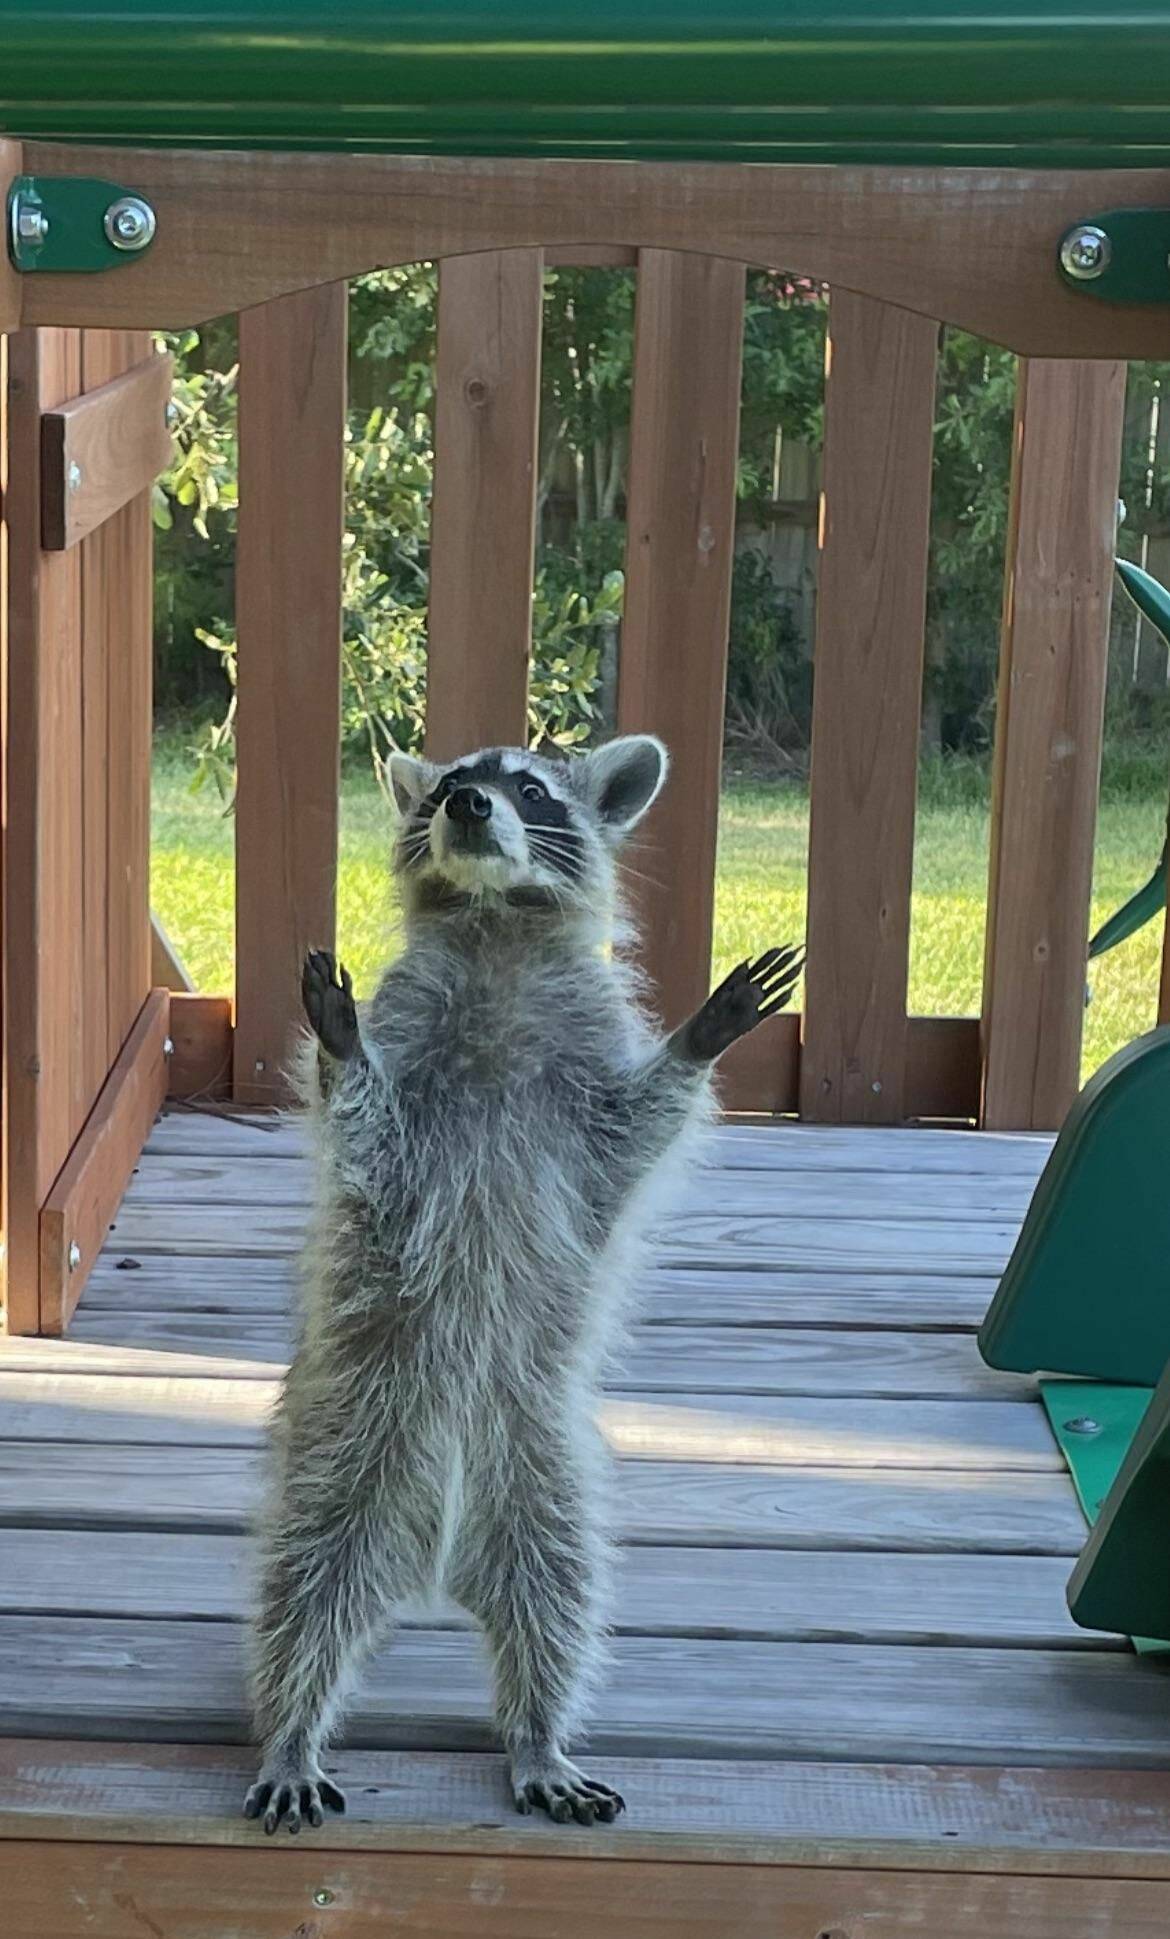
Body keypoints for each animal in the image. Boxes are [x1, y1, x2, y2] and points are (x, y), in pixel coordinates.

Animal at [242, 729, 799, 1830]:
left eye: (531, 789)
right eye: (453, 785)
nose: (465, 805)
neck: (498, 930)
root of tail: (436, 1551)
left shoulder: (585, 1079)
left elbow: (635, 1131)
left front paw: (701, 1036)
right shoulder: (410, 1061)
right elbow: (366, 1133)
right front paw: (340, 1046)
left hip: (542, 1470)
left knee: (560, 1599)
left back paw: (539, 1732)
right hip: (347, 1446)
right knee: (308, 1590)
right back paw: (294, 1726)